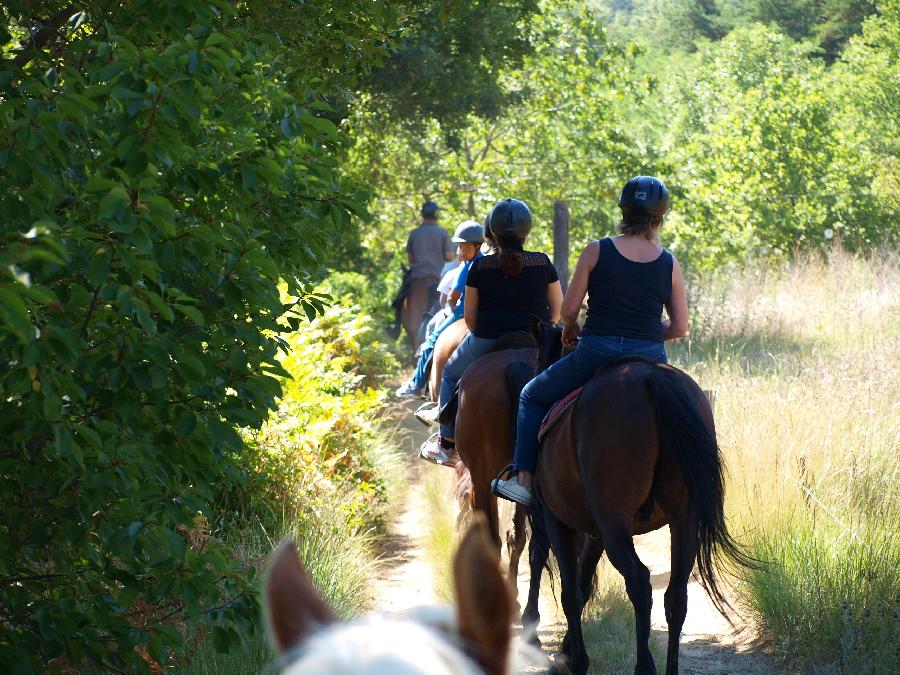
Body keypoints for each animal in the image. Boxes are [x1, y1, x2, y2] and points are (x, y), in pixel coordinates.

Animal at [532, 324, 756, 675]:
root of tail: (650, 379)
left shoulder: (559, 523)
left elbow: (572, 592)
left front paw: (575, 660)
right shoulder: (595, 534)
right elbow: (583, 585)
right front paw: (568, 651)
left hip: (614, 523)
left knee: (639, 581)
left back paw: (644, 666)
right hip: (681, 519)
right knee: (676, 595)